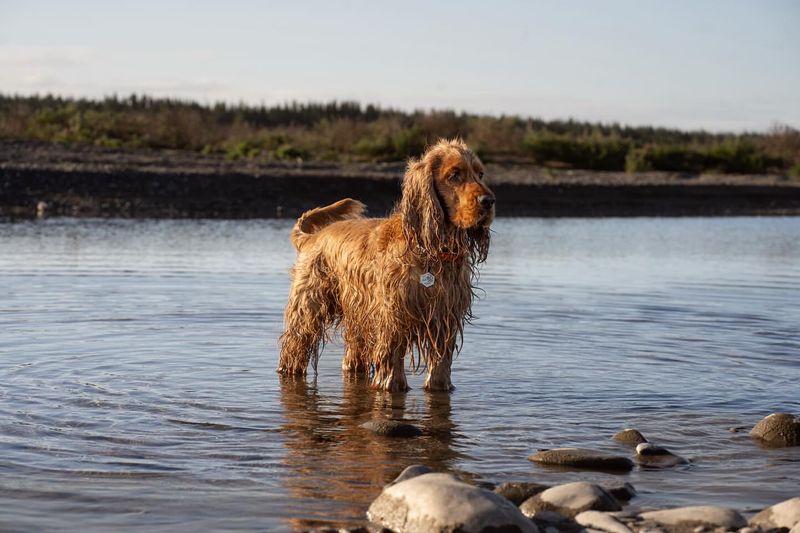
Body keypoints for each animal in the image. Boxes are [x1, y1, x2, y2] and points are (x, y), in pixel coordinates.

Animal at [278, 139, 496, 390]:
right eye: (454, 175)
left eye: (480, 174)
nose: (489, 201)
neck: (431, 251)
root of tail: (312, 237)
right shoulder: (392, 316)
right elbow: (392, 358)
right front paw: (391, 385)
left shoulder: (444, 317)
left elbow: (441, 364)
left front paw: (439, 387)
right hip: (307, 311)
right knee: (293, 349)